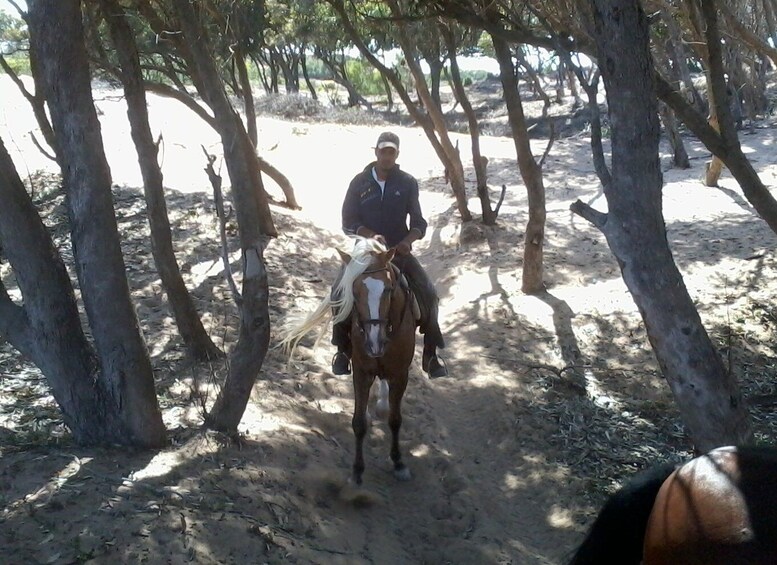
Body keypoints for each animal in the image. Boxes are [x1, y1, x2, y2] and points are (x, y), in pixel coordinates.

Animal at [276, 238, 416, 484]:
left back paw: (382, 404)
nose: (374, 342)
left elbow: (395, 419)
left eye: (388, 289)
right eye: (355, 292)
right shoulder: (361, 371)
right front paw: (357, 471)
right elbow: (358, 422)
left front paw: (398, 462)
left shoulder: (400, 373)